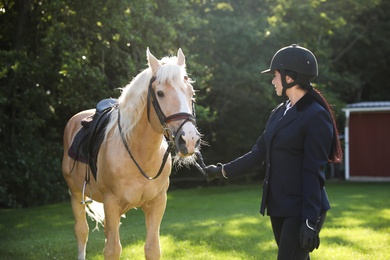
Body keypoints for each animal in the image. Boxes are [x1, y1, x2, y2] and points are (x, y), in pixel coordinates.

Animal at [62, 47, 203, 258]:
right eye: (160, 93)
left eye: (191, 93)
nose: (189, 140)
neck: (140, 154)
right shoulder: (111, 203)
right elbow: (112, 250)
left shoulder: (157, 203)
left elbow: (152, 248)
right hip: (76, 193)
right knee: (81, 231)